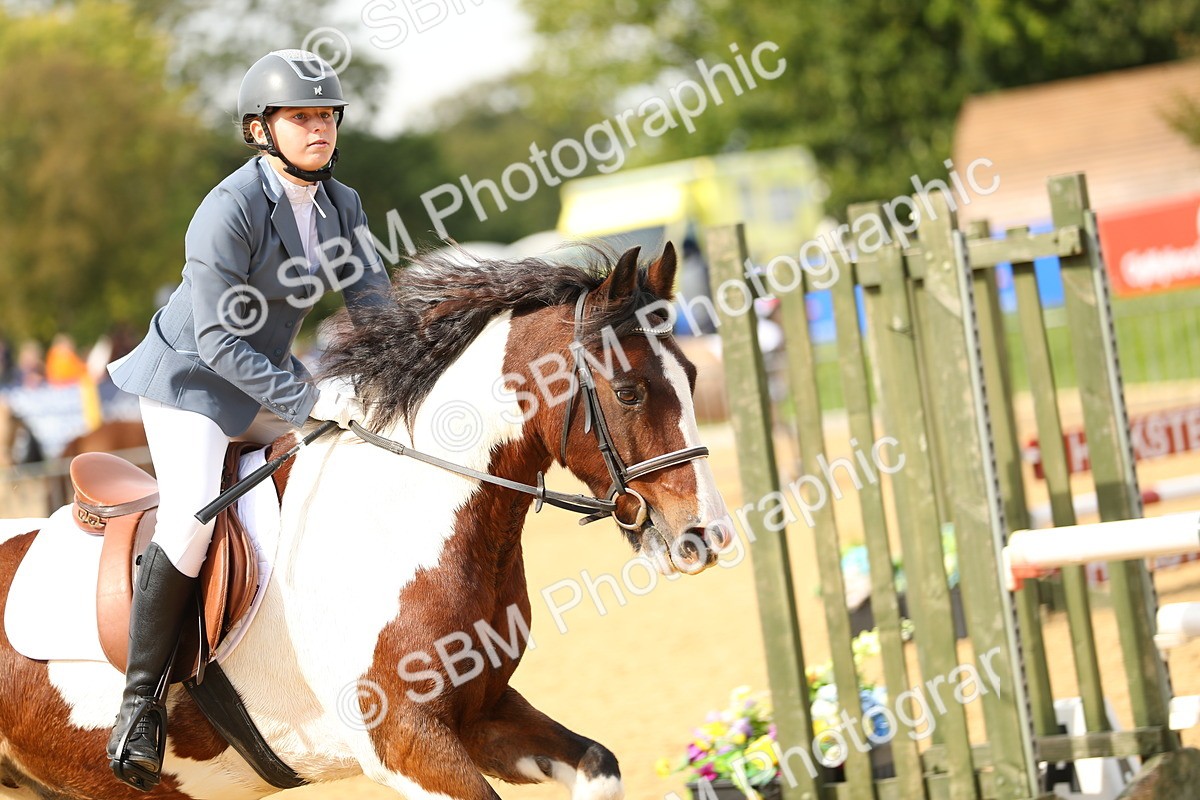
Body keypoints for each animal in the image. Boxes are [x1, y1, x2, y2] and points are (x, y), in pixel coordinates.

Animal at [0, 243, 732, 800]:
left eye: (694, 378)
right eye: (628, 391)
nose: (706, 537)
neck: (401, 520)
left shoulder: (483, 714)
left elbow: (598, 765)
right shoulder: (404, 743)